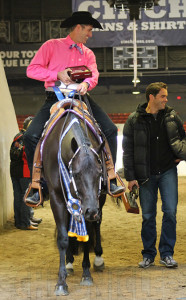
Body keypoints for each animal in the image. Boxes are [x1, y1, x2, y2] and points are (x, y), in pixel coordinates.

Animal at [42, 105, 106, 296]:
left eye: (99, 173)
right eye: (76, 174)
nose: (91, 211)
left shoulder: (93, 201)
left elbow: (86, 236)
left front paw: (86, 274)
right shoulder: (57, 198)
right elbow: (63, 237)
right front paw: (61, 282)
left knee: (96, 226)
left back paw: (97, 258)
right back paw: (69, 261)